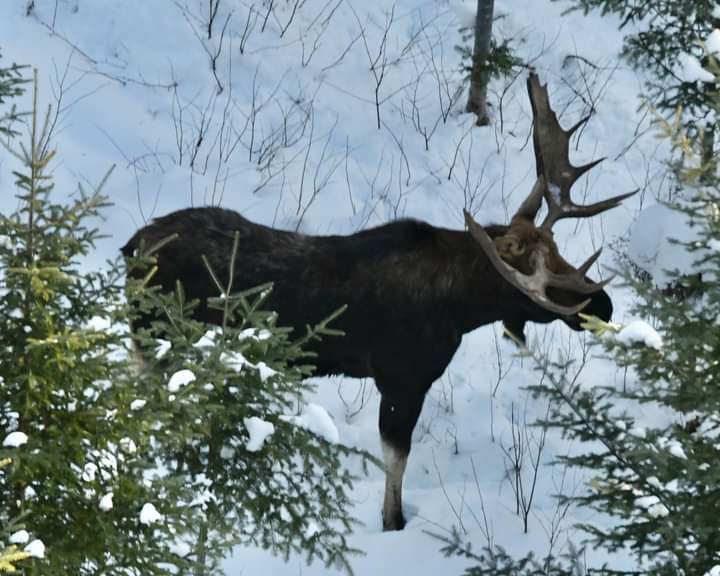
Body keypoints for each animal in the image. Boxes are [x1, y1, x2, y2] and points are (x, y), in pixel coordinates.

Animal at [125, 72, 636, 532]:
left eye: (560, 250)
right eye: (536, 269)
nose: (604, 305)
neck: (460, 309)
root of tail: (129, 249)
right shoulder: (402, 377)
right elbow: (396, 459)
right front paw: (393, 522)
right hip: (158, 338)